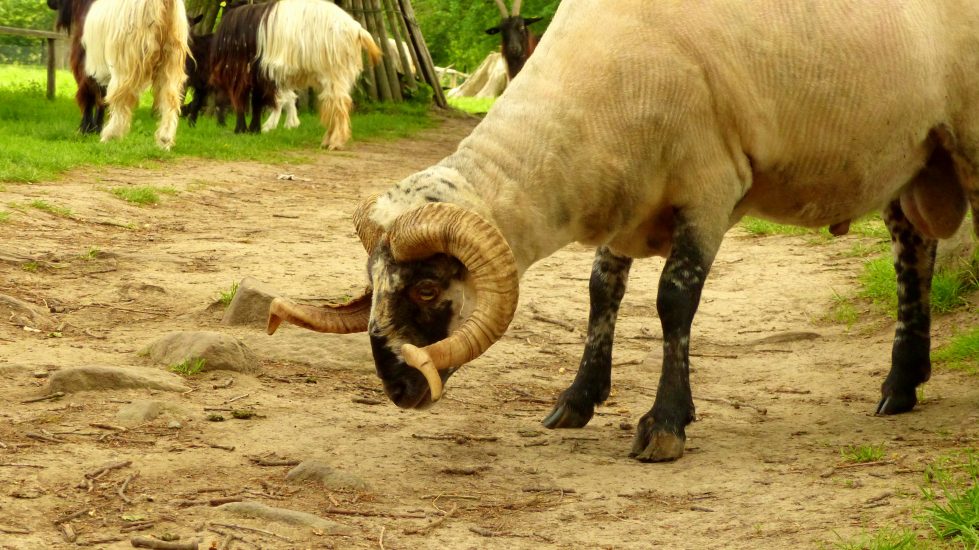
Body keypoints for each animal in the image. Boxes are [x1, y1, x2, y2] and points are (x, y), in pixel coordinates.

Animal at [81, 0, 190, 150]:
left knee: (121, 98)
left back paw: (110, 135)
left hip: (127, 59)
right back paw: (165, 140)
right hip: (172, 57)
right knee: (170, 98)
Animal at [256, 0, 382, 149]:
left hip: (334, 72)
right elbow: (286, 97)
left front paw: (271, 126)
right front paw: (288, 123)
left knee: (338, 103)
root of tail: (358, 30)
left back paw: (334, 142)